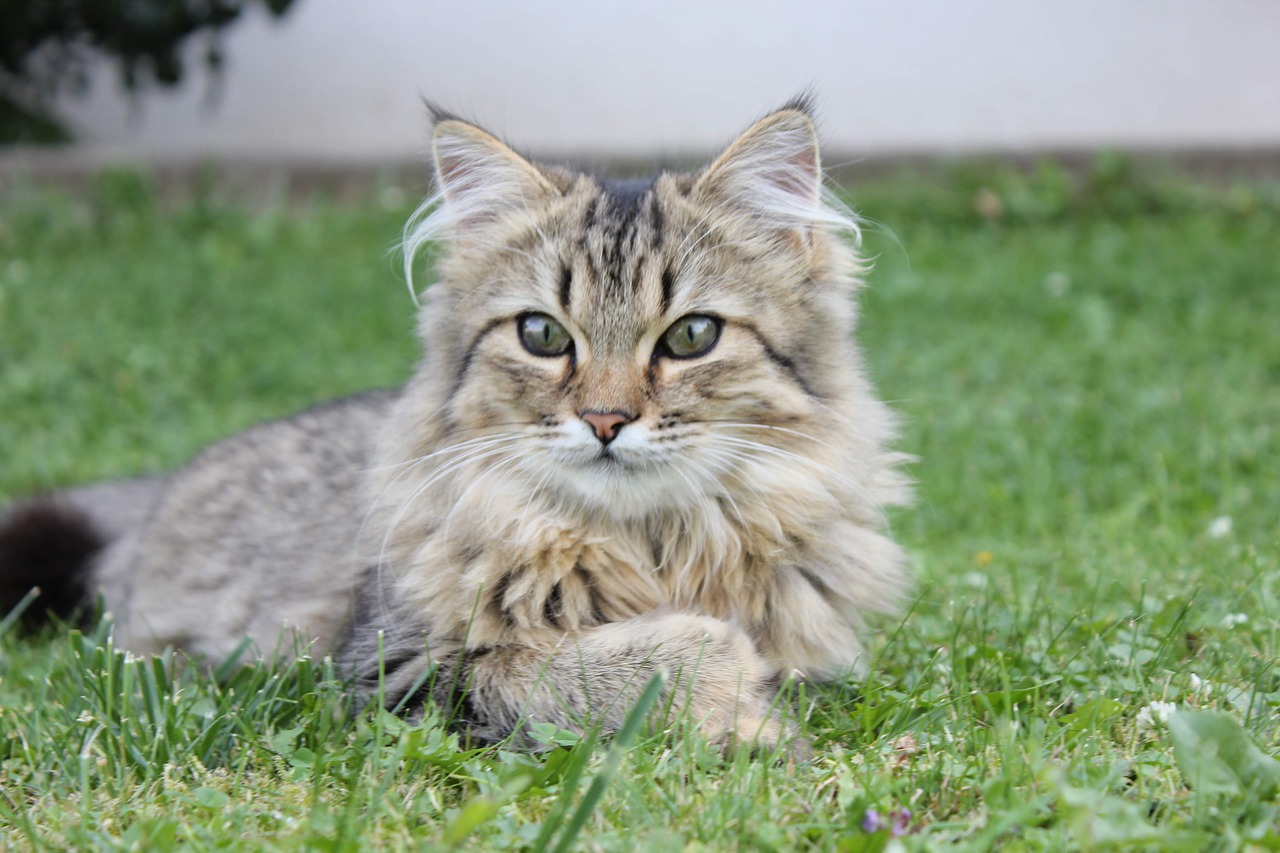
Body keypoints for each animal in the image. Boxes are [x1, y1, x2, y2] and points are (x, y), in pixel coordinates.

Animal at [0, 99, 911, 747]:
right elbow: (556, 668)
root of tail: (161, 490)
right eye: (543, 334)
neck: (646, 552)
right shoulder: (384, 668)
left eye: (691, 336)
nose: (605, 419)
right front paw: (728, 689)